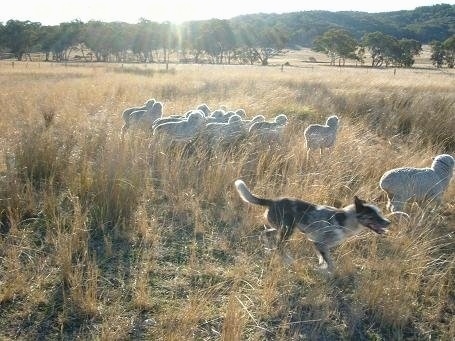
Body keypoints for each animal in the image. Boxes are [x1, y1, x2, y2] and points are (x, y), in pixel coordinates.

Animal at [235, 179, 392, 272]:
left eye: (380, 213)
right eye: (373, 216)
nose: (388, 222)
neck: (345, 219)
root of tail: (272, 201)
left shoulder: (319, 245)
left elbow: (324, 261)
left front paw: (322, 269)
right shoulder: (319, 244)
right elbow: (330, 264)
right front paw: (326, 272)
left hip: (282, 228)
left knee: (265, 234)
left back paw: (269, 249)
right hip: (287, 230)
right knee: (279, 245)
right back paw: (287, 260)